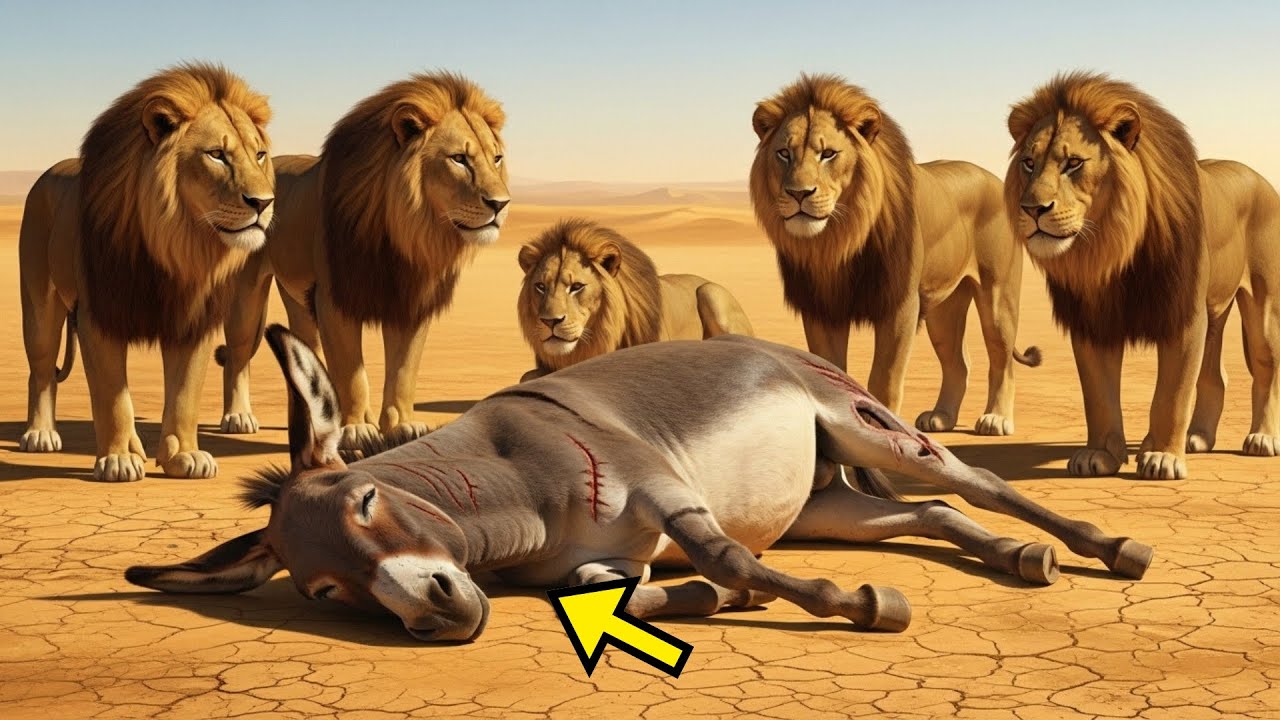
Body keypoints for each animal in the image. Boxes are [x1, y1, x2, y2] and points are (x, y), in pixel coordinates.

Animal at [18, 63, 275, 482]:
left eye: (260, 155)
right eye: (217, 155)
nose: (263, 202)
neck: (176, 246)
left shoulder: (192, 319)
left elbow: (185, 394)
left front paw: (183, 456)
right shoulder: (99, 315)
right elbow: (112, 397)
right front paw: (119, 460)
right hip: (40, 305)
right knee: (40, 369)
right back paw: (40, 435)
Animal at [216, 72, 509, 451]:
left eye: (497, 158)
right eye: (459, 158)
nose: (501, 204)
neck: (406, 235)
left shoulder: (410, 302)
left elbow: (403, 373)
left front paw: (402, 426)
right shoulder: (335, 299)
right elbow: (351, 373)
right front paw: (358, 430)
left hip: (298, 298)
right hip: (247, 296)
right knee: (238, 353)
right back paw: (237, 417)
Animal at [750, 74, 1041, 436]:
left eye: (828, 154)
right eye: (783, 154)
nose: (798, 194)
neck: (837, 242)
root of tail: (994, 179)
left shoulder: (900, 305)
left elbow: (884, 379)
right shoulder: (822, 308)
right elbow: (829, 371)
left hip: (998, 296)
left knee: (1001, 358)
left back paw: (996, 419)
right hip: (944, 308)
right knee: (958, 361)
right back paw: (940, 417)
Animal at [1005, 71, 1280, 479]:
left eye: (1073, 162)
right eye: (1028, 162)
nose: (1031, 209)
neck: (1112, 252)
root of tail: (1258, 176)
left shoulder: (1185, 315)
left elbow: (1172, 392)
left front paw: (1163, 457)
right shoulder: (1093, 321)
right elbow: (1099, 395)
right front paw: (1100, 454)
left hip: (1263, 308)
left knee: (1265, 367)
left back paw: (1262, 438)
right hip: (1216, 312)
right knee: (1214, 375)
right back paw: (1198, 438)